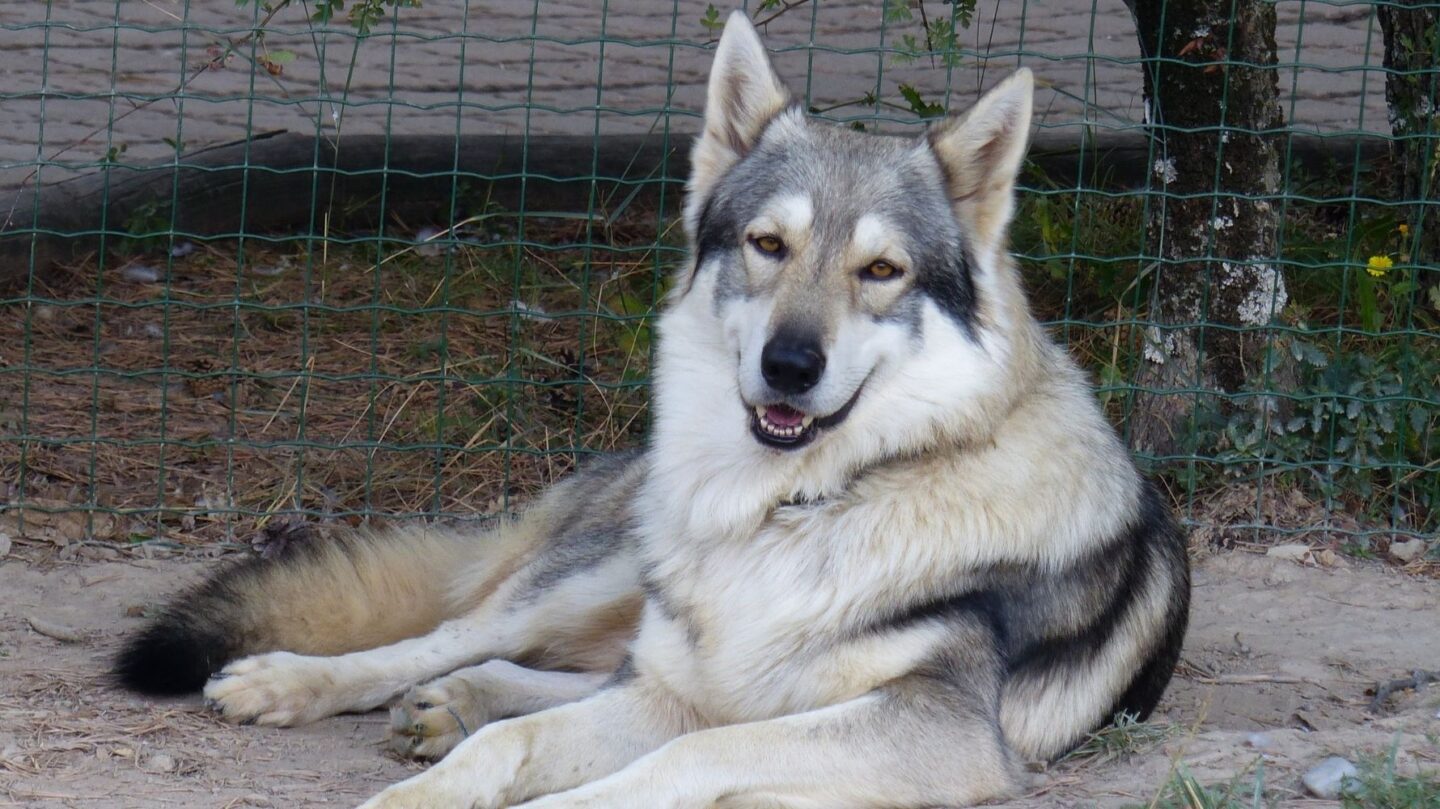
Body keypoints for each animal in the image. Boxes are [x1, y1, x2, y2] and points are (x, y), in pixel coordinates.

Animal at [115, 12, 1189, 808]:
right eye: (767, 244)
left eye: (881, 270)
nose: (789, 364)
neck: (800, 509)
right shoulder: (697, 691)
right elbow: (516, 746)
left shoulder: (936, 731)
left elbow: (675, 757)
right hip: (602, 575)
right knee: (453, 637)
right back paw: (305, 682)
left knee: (553, 668)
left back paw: (449, 705)